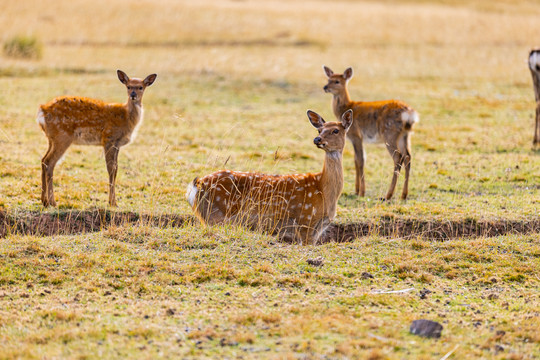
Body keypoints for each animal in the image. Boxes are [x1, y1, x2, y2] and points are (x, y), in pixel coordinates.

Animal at [36, 70, 156, 207]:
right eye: (128, 86)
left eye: (141, 87)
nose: (133, 95)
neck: (126, 118)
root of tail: (42, 111)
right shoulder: (109, 138)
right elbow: (111, 169)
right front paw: (112, 202)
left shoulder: (117, 144)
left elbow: (116, 169)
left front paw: (112, 201)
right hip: (62, 136)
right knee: (49, 162)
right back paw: (52, 201)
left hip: (52, 139)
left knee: (43, 160)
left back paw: (44, 200)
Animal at [186, 109, 354, 245]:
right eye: (320, 129)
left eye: (336, 130)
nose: (317, 139)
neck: (324, 191)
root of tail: (197, 184)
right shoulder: (305, 221)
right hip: (216, 215)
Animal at [322, 64, 420, 200]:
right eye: (328, 79)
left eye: (337, 81)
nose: (325, 87)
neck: (347, 106)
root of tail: (409, 114)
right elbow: (356, 160)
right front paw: (357, 190)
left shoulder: (356, 135)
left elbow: (360, 160)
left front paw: (361, 192)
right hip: (405, 135)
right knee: (408, 157)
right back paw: (403, 195)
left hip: (390, 133)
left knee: (398, 157)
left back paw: (388, 195)